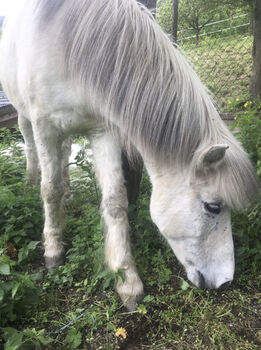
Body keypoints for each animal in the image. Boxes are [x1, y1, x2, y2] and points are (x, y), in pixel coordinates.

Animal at [0, 0, 258, 310]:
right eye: (213, 207)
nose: (225, 281)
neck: (67, 44)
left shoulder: (103, 131)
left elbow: (115, 202)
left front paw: (127, 279)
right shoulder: (45, 128)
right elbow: (50, 190)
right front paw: (53, 251)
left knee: (64, 155)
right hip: (26, 120)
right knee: (32, 152)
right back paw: (30, 185)